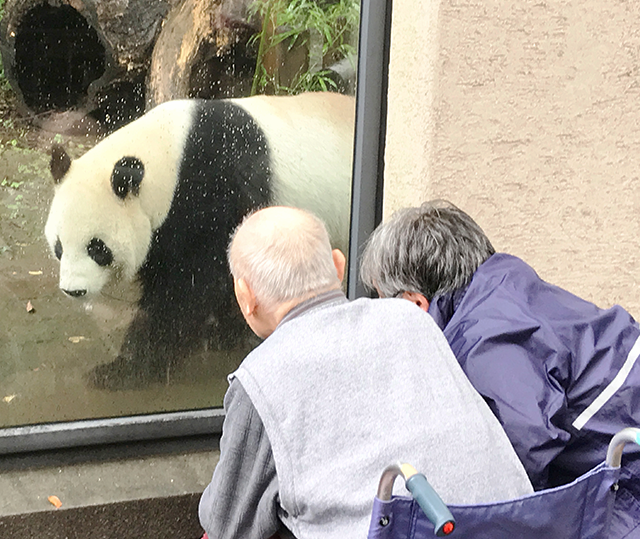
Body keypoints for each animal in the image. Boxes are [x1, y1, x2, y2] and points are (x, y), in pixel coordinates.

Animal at [45, 92, 356, 388]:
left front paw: (123, 370)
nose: (74, 290)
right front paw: (227, 334)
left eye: (97, 248)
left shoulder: (216, 194)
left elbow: (192, 288)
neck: (169, 157)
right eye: (59, 247)